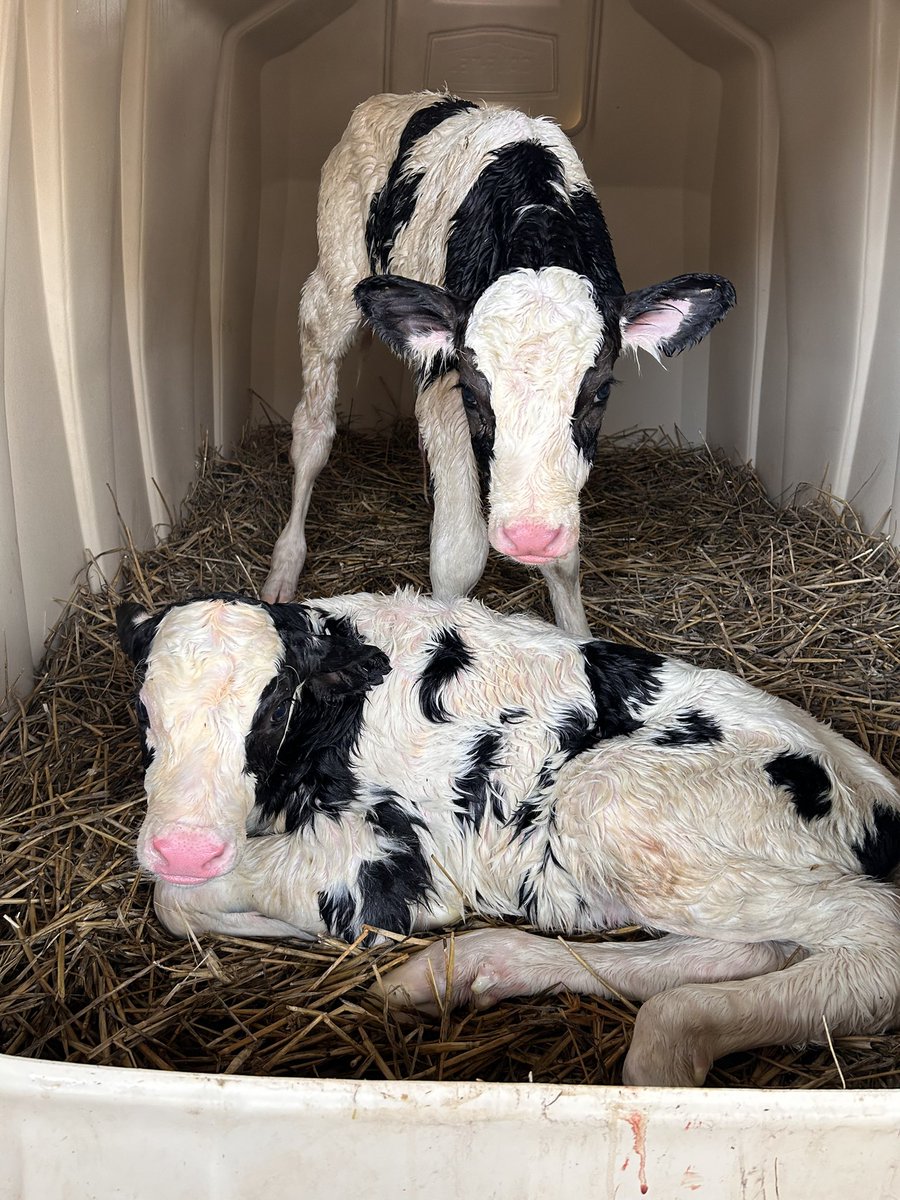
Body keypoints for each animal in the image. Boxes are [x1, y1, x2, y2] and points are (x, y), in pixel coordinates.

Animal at [117, 591, 900, 1087]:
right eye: (143, 703)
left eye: (272, 702)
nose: (183, 845)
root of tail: (876, 788)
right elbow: (179, 896)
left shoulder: (387, 867)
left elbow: (180, 900)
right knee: (745, 949)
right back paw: (463, 971)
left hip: (609, 804)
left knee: (870, 933)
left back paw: (664, 1050)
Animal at [262, 92, 736, 635]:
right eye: (472, 395)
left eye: (599, 393)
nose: (528, 536)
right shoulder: (442, 385)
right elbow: (459, 552)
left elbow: (565, 555)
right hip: (334, 286)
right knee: (313, 431)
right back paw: (284, 566)